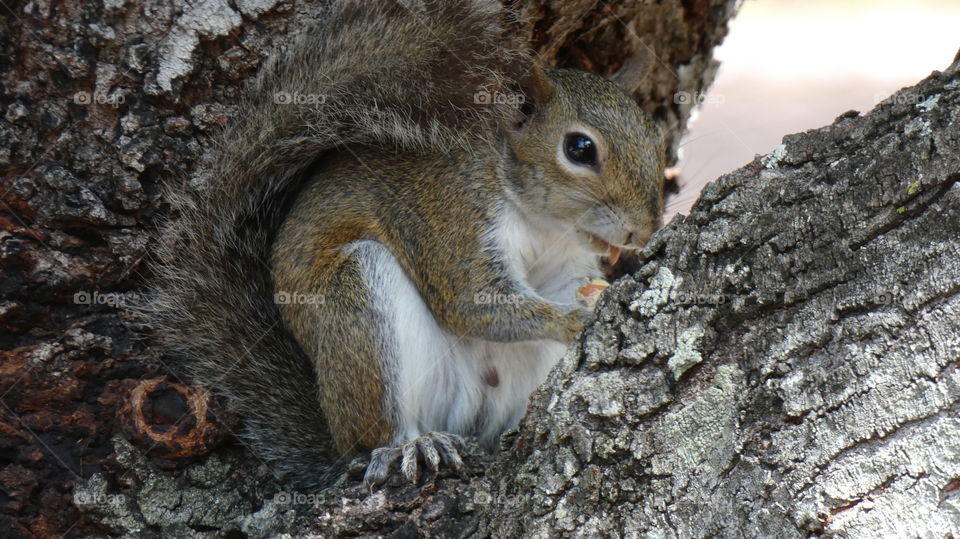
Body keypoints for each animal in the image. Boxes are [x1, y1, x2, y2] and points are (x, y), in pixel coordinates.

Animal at [149, 0, 665, 490]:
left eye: (652, 133)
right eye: (579, 149)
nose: (643, 232)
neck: (541, 221)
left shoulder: (562, 259)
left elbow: (560, 286)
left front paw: (598, 292)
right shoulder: (451, 216)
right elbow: (472, 303)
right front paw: (574, 318)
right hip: (358, 306)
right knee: (376, 434)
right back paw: (412, 445)